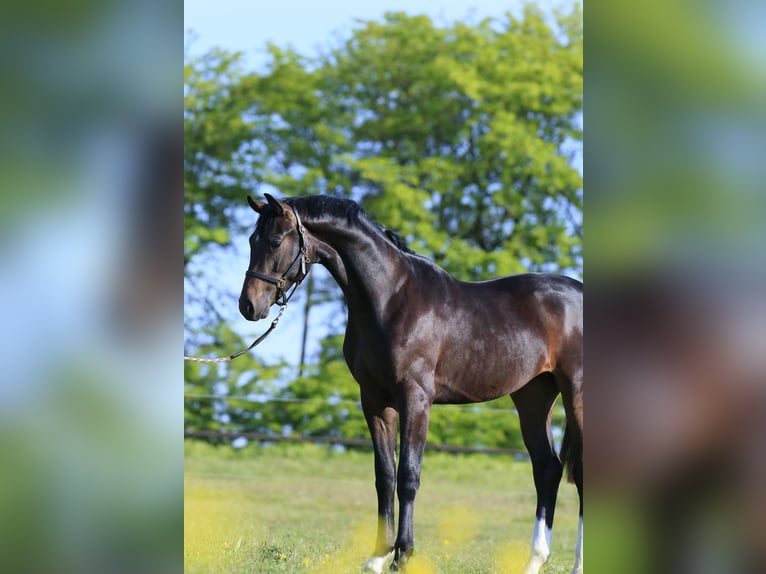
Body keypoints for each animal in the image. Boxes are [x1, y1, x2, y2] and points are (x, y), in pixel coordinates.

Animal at [237, 196, 584, 572]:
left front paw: (402, 555)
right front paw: (377, 556)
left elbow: (408, 476)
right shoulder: (375, 400)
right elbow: (385, 475)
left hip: (576, 394)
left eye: (274, 241)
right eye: (251, 241)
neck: (391, 300)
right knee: (547, 470)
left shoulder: (415, 399)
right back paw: (534, 560)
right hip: (533, 397)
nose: (248, 306)